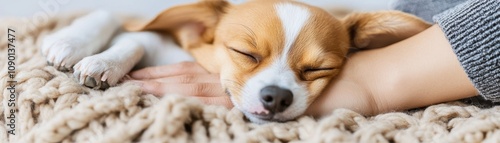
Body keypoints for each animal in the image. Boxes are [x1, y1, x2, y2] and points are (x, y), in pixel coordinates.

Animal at [40, 0, 430, 123]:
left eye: (319, 69)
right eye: (246, 53)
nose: (277, 97)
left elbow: (129, 33)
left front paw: (99, 61)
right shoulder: (158, 39)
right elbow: (126, 31)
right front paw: (92, 56)